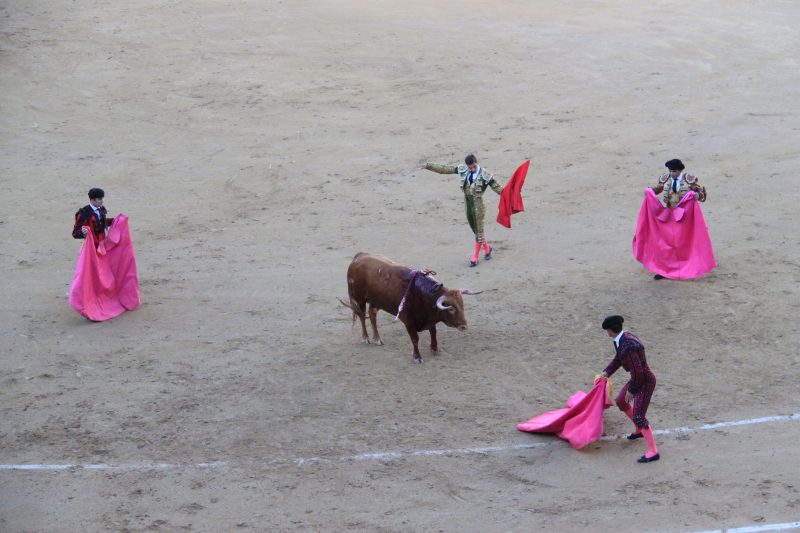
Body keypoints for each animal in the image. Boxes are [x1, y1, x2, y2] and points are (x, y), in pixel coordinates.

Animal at [338, 252, 482, 363]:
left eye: (461, 305)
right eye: (451, 308)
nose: (464, 326)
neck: (422, 294)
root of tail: (359, 257)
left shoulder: (430, 318)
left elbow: (433, 332)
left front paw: (434, 349)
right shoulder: (408, 322)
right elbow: (415, 339)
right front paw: (417, 357)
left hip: (376, 301)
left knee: (372, 315)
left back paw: (378, 339)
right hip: (359, 299)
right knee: (362, 316)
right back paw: (366, 338)